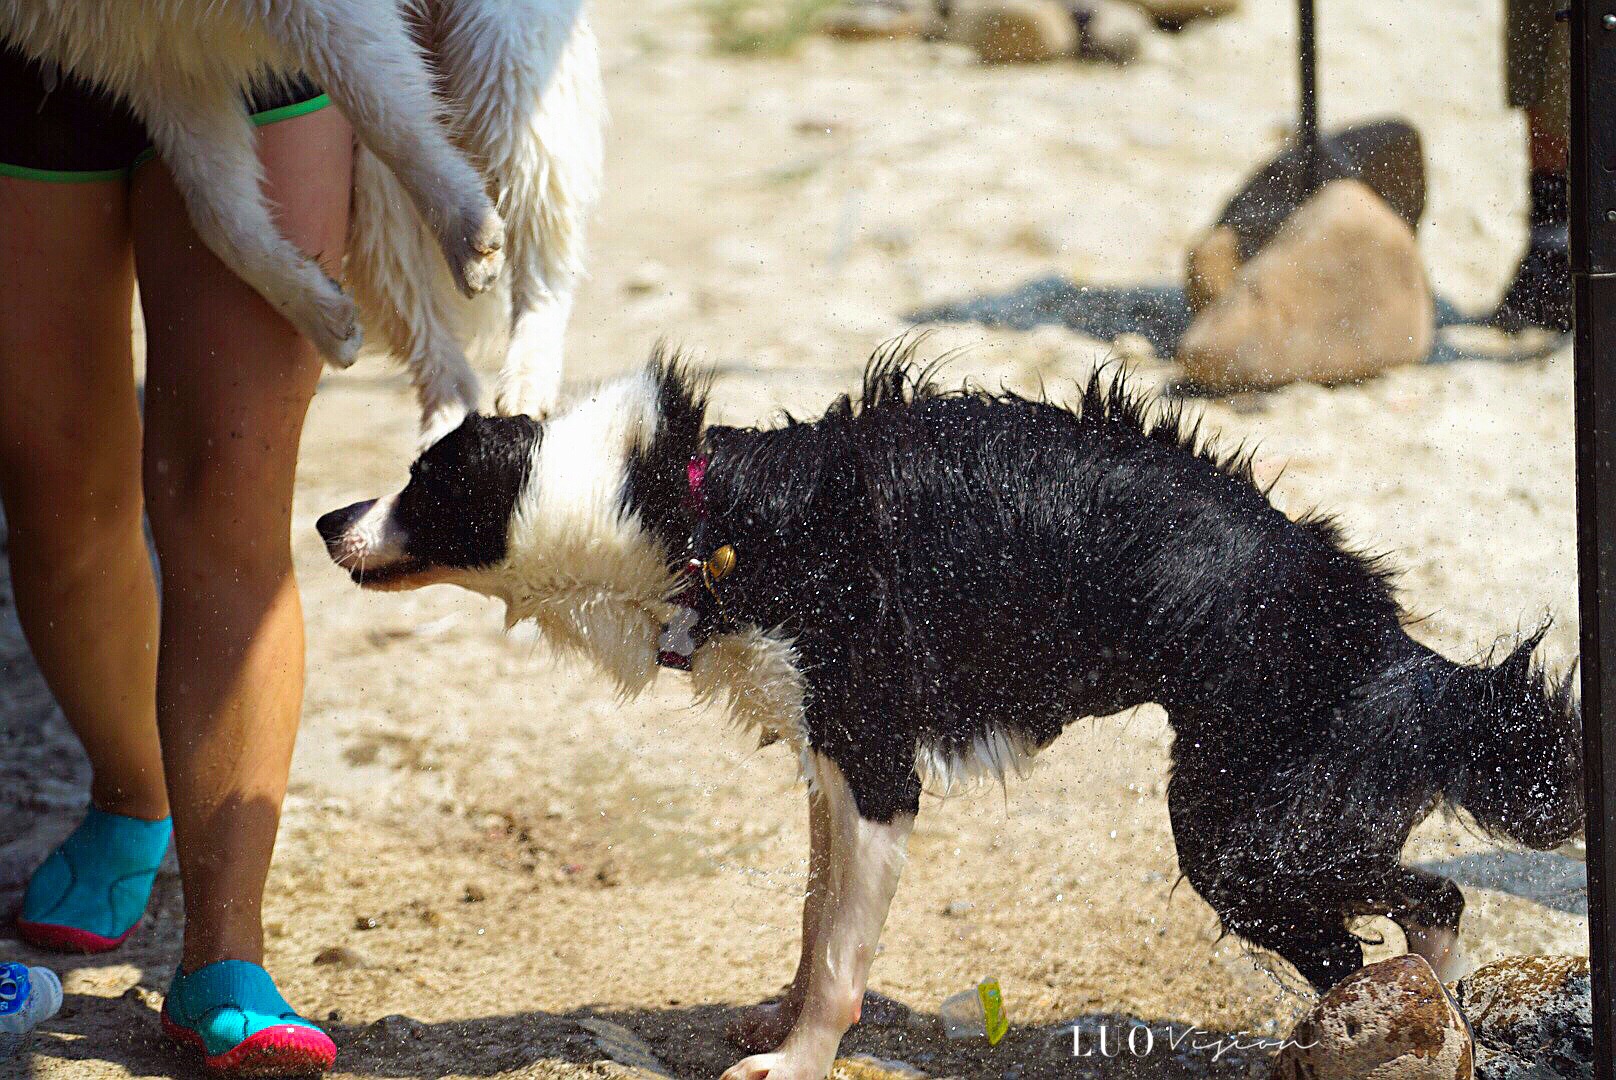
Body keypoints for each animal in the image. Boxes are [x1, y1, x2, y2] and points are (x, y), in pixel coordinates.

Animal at [315, 345, 1577, 1080]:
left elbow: (839, 951)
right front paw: (777, 1021)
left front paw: (799, 1060)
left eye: (421, 482)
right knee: (1400, 921)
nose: (325, 518)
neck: (686, 511)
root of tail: (1411, 658)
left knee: (1424, 902)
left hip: (1241, 839)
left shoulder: (877, 765)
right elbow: (812, 917)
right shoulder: (826, 763)